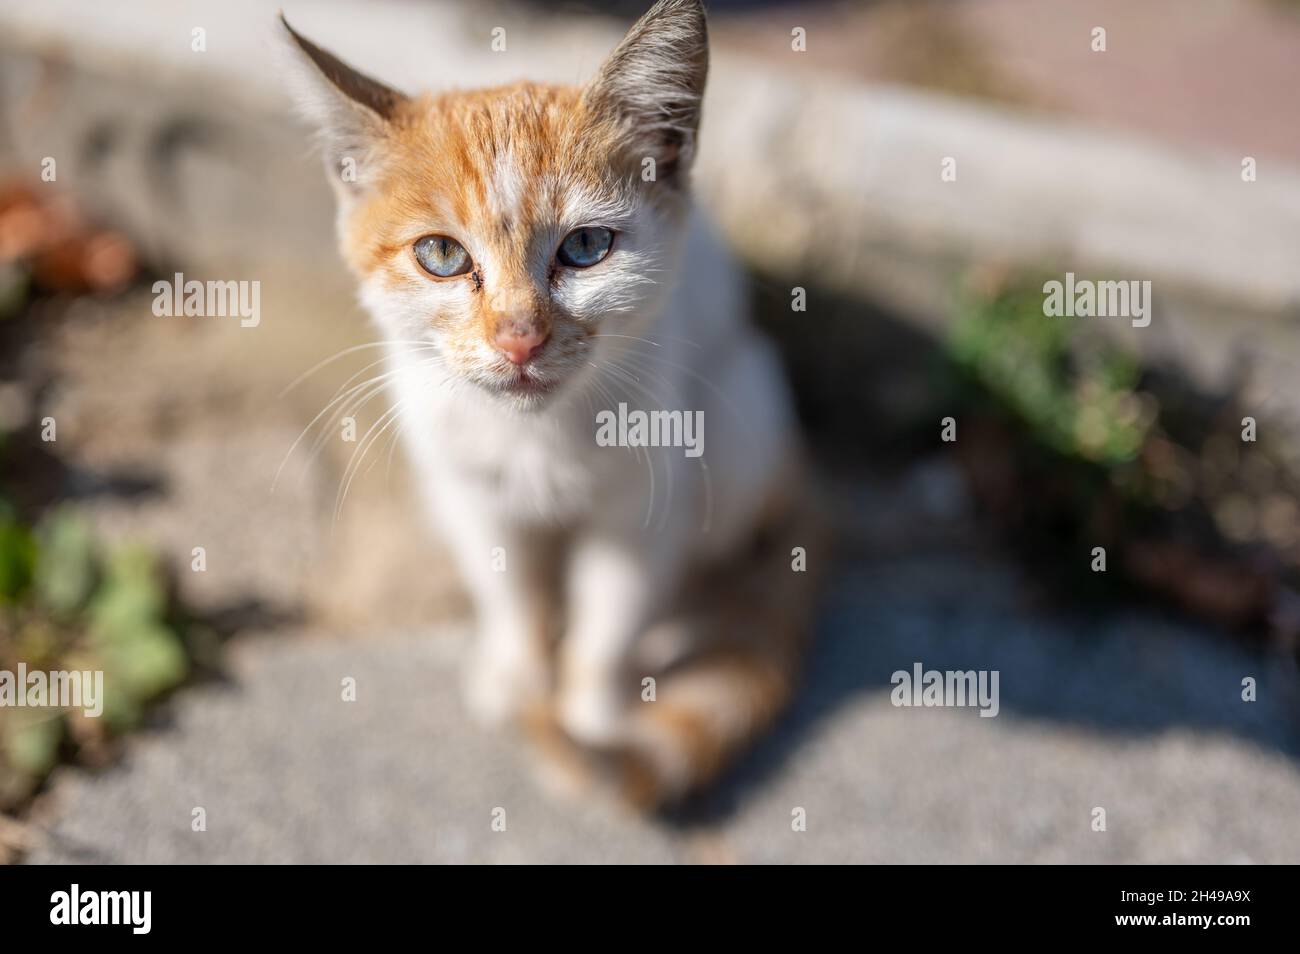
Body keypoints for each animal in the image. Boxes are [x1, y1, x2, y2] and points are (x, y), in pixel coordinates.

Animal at [283, 0, 816, 811]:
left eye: (587, 246)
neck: (533, 440)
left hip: (741, 413)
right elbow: (511, 593)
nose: (518, 337)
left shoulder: (644, 499)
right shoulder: (470, 490)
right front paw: (517, 676)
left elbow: (611, 614)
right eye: (441, 255)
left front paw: (593, 712)